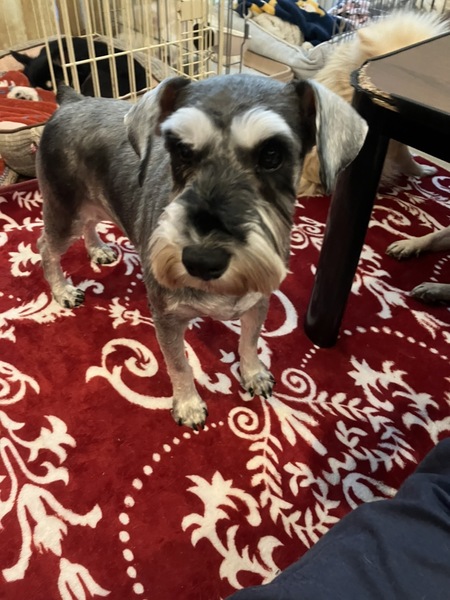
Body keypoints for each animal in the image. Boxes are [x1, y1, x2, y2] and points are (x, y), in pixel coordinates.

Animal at [36, 74, 367, 429]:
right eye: (182, 151)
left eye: (271, 155)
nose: (201, 260)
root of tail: (71, 101)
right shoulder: (166, 317)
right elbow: (179, 364)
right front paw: (188, 404)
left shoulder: (258, 302)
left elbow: (249, 341)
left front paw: (254, 374)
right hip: (64, 211)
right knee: (45, 246)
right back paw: (62, 291)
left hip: (94, 205)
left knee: (88, 226)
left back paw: (97, 250)